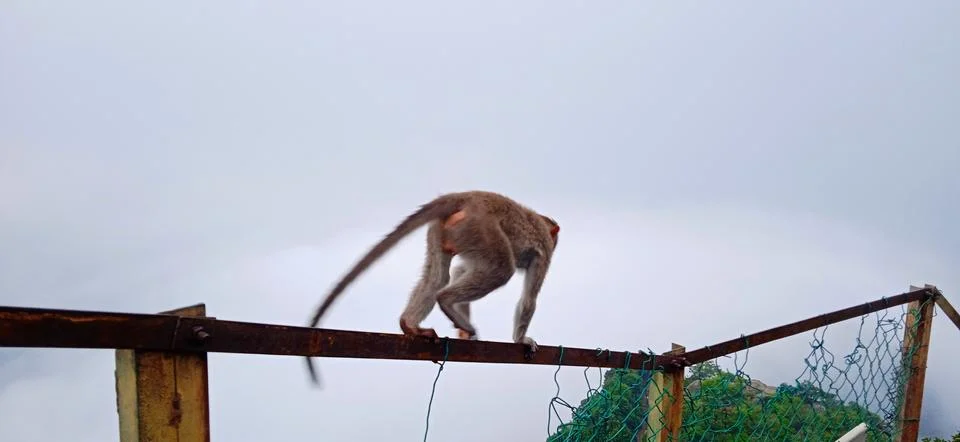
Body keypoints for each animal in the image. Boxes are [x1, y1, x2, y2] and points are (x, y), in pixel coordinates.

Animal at [304, 190, 560, 386]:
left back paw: (410, 324)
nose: (557, 242)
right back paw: (446, 301)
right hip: (480, 227)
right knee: (500, 270)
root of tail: (468, 196)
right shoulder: (545, 251)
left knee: (438, 277)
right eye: (555, 238)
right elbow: (529, 299)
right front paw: (521, 340)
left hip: (445, 230)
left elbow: (459, 271)